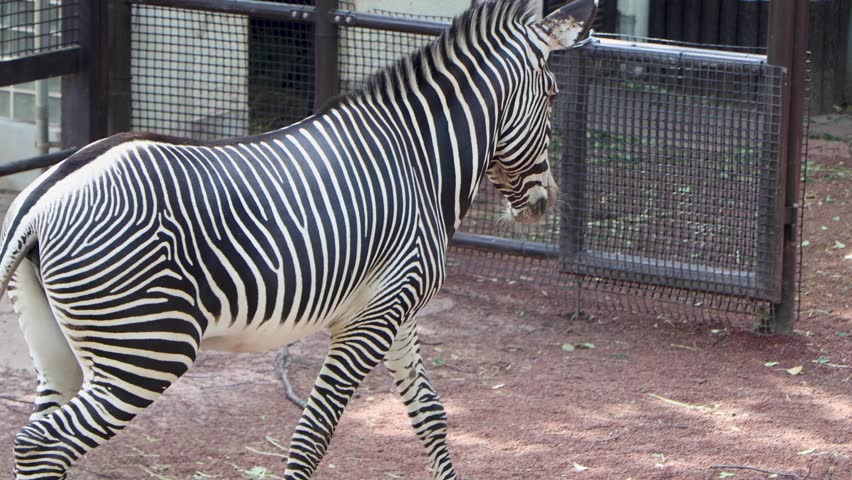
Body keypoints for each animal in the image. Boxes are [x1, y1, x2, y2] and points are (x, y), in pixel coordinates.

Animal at [0, 0, 596, 478]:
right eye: (552, 96)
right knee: (42, 442)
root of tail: (41, 199)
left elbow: (430, 414)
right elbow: (314, 434)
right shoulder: (368, 321)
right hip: (148, 345)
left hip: (58, 348)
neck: (417, 159)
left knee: (42, 441)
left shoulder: (398, 309)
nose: (545, 203)